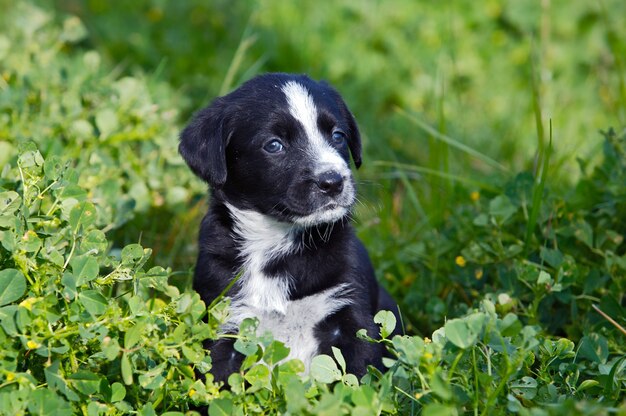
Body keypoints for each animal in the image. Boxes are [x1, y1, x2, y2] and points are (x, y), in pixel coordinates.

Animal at [178, 72, 398, 384]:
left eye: (338, 136)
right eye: (274, 145)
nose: (333, 182)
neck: (277, 243)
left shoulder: (350, 313)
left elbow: (359, 377)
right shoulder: (227, 322)